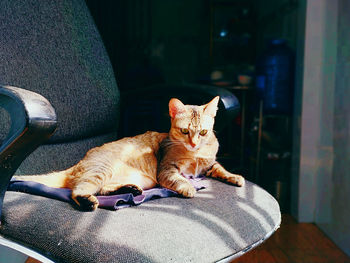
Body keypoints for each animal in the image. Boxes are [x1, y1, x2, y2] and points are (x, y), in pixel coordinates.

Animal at [15, 98, 243, 211]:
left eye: (203, 132)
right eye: (185, 131)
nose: (194, 143)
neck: (195, 154)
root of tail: (76, 164)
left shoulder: (209, 165)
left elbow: (221, 169)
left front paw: (235, 177)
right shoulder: (166, 170)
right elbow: (179, 179)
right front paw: (188, 187)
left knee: (102, 189)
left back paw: (129, 189)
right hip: (101, 171)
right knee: (78, 190)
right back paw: (89, 201)